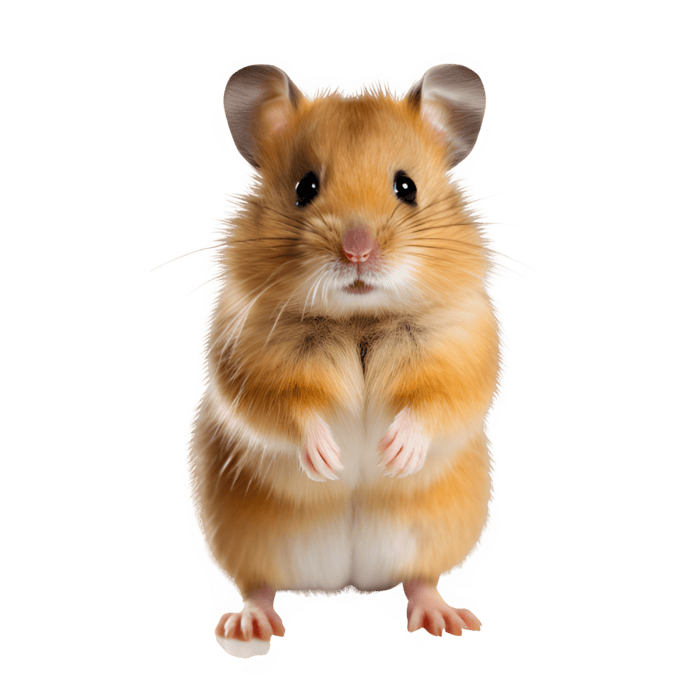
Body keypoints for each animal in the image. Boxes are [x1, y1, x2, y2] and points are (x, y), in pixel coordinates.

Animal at [183, 58, 510, 659]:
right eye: (305, 187)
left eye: (406, 187)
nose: (359, 251)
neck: (358, 320)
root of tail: (345, 588)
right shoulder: (241, 357)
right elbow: (290, 408)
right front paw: (330, 461)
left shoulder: (464, 349)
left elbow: (436, 400)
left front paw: (392, 455)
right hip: (240, 538)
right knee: (256, 586)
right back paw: (248, 628)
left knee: (420, 578)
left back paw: (447, 619)